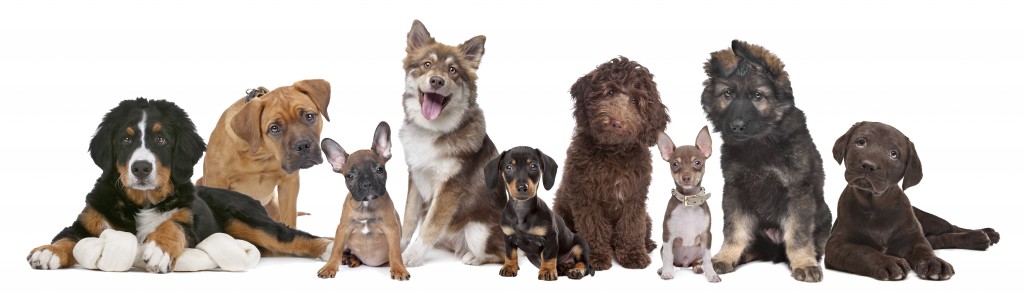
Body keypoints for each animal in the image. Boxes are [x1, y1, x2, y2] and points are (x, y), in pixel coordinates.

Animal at [197, 79, 329, 227]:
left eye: (309, 116)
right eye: (274, 128)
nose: (302, 145)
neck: (261, 154)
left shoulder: (289, 183)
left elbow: (289, 216)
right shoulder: (216, 181)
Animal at [557, 56, 667, 270]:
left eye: (635, 100)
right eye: (609, 92)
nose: (616, 122)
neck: (613, 152)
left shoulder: (635, 196)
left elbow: (631, 226)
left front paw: (633, 254)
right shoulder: (586, 196)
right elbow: (593, 227)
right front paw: (596, 256)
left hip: (647, 216)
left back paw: (647, 244)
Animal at [700, 40, 835, 282]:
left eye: (757, 96)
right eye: (727, 94)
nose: (736, 127)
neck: (759, 143)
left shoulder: (797, 191)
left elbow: (798, 234)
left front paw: (803, 262)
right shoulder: (735, 189)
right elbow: (734, 230)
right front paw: (725, 257)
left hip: (824, 216)